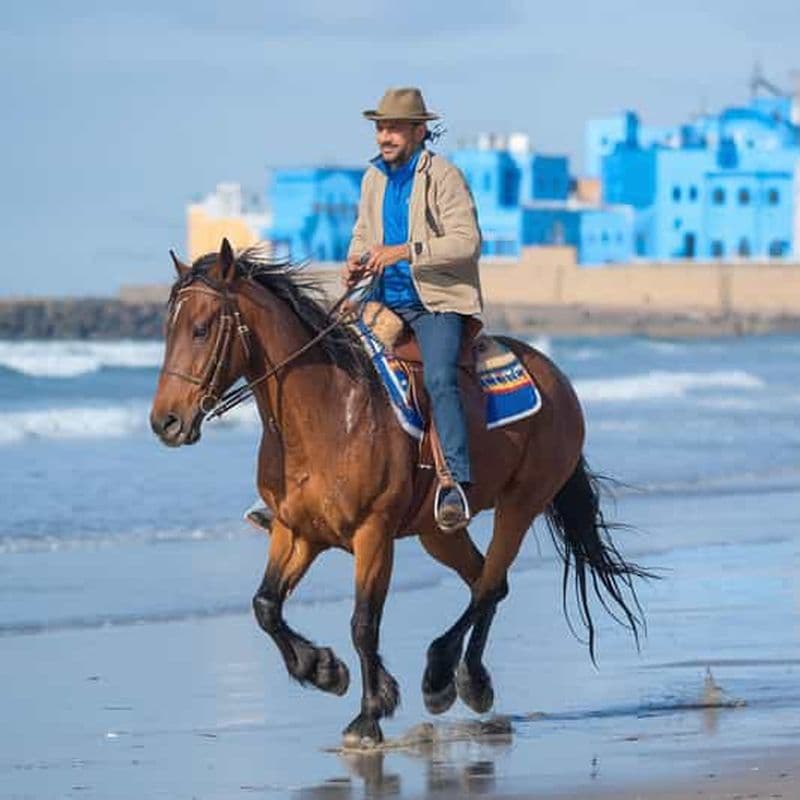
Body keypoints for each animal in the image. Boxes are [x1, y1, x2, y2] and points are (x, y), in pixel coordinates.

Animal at [150, 239, 648, 748]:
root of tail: (556, 378)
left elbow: (363, 623)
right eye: (167, 329)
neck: (327, 412)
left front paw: (369, 714)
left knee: (489, 585)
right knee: (488, 583)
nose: (164, 421)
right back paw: (470, 680)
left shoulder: (373, 534)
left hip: (521, 504)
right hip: (438, 533)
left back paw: (441, 673)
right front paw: (324, 669)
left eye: (201, 329)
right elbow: (265, 606)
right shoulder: (297, 531)